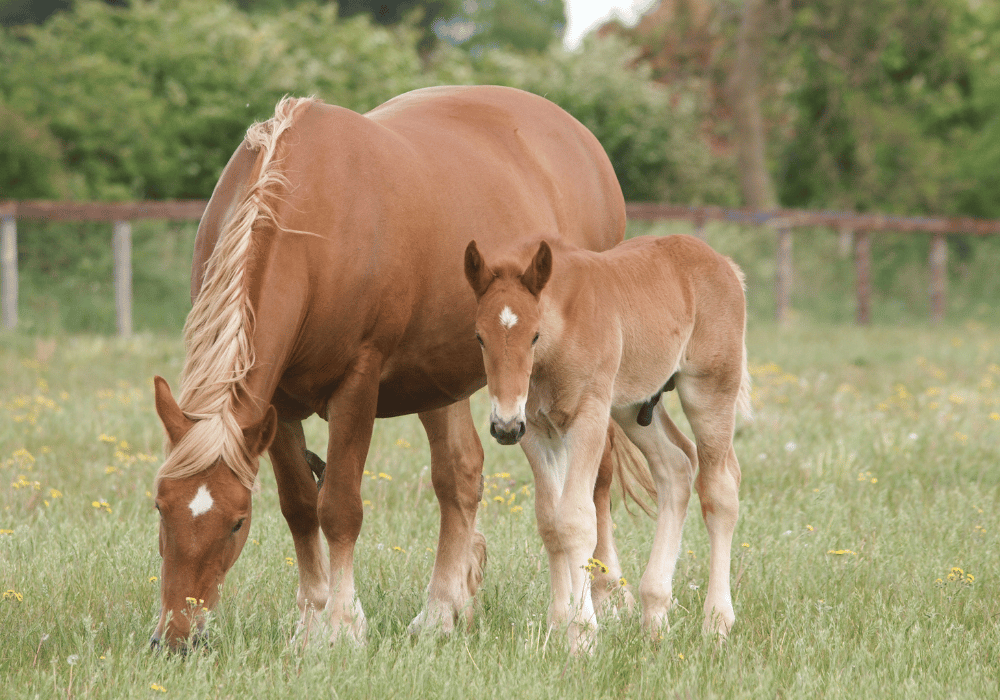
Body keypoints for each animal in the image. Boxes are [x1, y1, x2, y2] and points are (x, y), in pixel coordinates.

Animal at [149, 86, 628, 652]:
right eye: (160, 507)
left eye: (237, 522)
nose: (177, 637)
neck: (308, 215)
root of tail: (583, 140)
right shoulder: (275, 405)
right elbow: (300, 506)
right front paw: (311, 621)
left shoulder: (357, 383)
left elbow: (339, 508)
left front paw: (341, 626)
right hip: (442, 384)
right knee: (459, 477)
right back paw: (442, 611)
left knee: (598, 479)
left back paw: (605, 598)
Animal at [464, 234, 748, 652]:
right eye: (480, 337)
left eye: (534, 335)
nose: (503, 426)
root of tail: (724, 263)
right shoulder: (535, 430)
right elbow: (549, 521)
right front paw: (557, 624)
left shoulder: (589, 419)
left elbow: (576, 520)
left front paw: (582, 635)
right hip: (634, 406)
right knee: (676, 466)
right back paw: (655, 615)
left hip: (709, 390)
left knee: (720, 488)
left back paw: (717, 623)